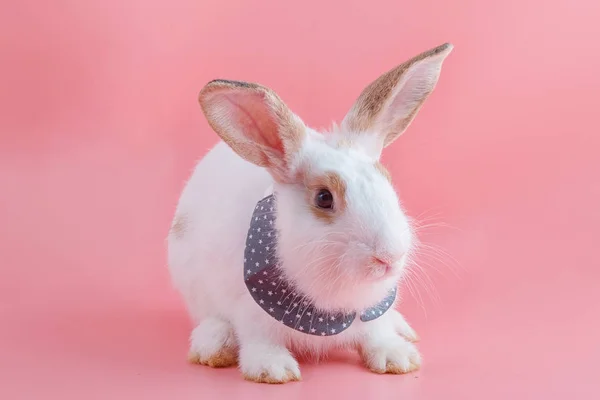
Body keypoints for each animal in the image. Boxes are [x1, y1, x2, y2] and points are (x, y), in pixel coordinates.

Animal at [166, 42, 452, 382]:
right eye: (324, 198)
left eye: (387, 180)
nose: (389, 257)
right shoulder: (250, 314)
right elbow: (260, 340)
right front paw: (273, 369)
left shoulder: (372, 311)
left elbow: (376, 334)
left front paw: (398, 358)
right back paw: (213, 346)